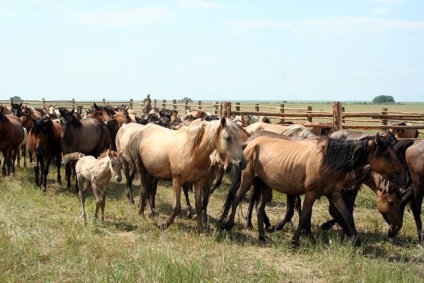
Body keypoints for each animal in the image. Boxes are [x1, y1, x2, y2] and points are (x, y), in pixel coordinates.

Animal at [219, 134, 408, 247]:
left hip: (265, 185)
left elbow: (347, 216)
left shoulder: (335, 194)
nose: (405, 178)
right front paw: (295, 241)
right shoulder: (310, 194)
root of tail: (250, 143)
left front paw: (356, 241)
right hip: (248, 179)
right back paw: (228, 224)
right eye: (387, 155)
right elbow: (303, 217)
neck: (328, 160)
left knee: (259, 207)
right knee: (236, 197)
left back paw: (262, 235)